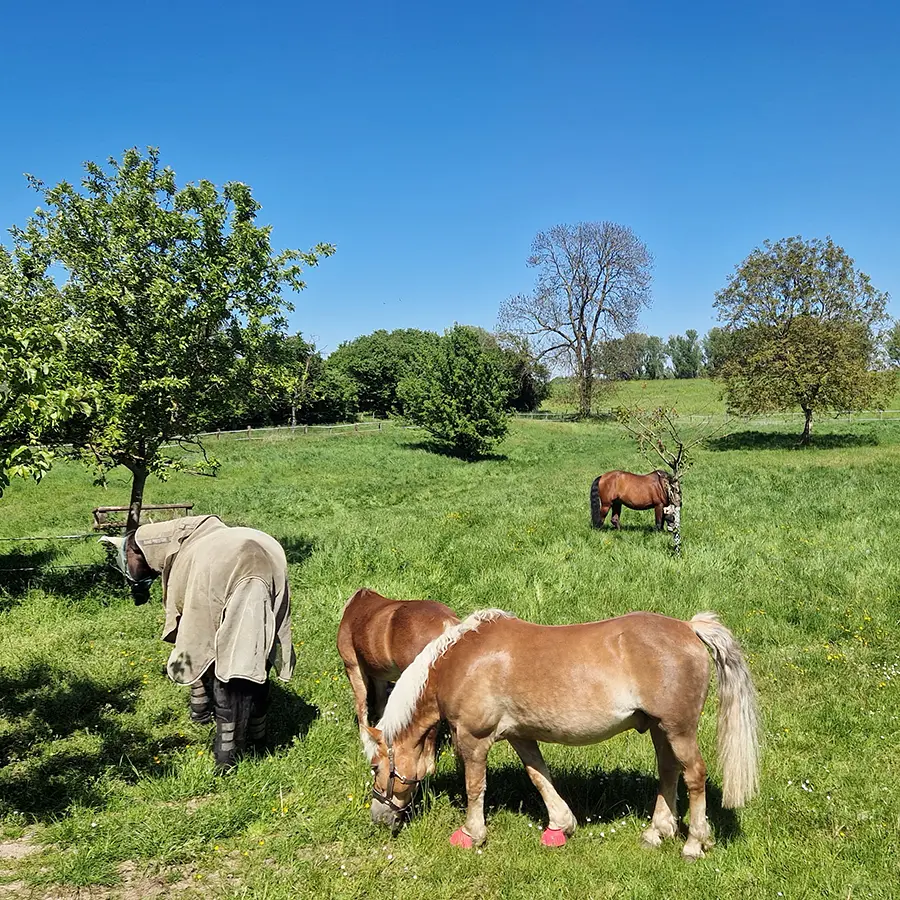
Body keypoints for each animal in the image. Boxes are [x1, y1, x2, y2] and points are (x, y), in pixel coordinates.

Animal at [102, 516, 295, 770]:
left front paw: (200, 715)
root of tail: (254, 572)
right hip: (263, 639)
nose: (137, 597)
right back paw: (257, 744)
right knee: (258, 691)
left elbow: (199, 676)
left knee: (228, 700)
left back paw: (224, 761)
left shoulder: (194, 634)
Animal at [364, 609, 759, 860]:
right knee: (668, 772)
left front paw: (471, 834)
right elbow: (539, 776)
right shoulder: (520, 735)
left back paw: (693, 843)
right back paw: (656, 832)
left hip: (679, 730)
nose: (378, 817)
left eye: (375, 768)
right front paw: (560, 825)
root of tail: (688, 627)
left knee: (694, 776)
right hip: (661, 729)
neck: (462, 662)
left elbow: (475, 787)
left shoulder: (473, 739)